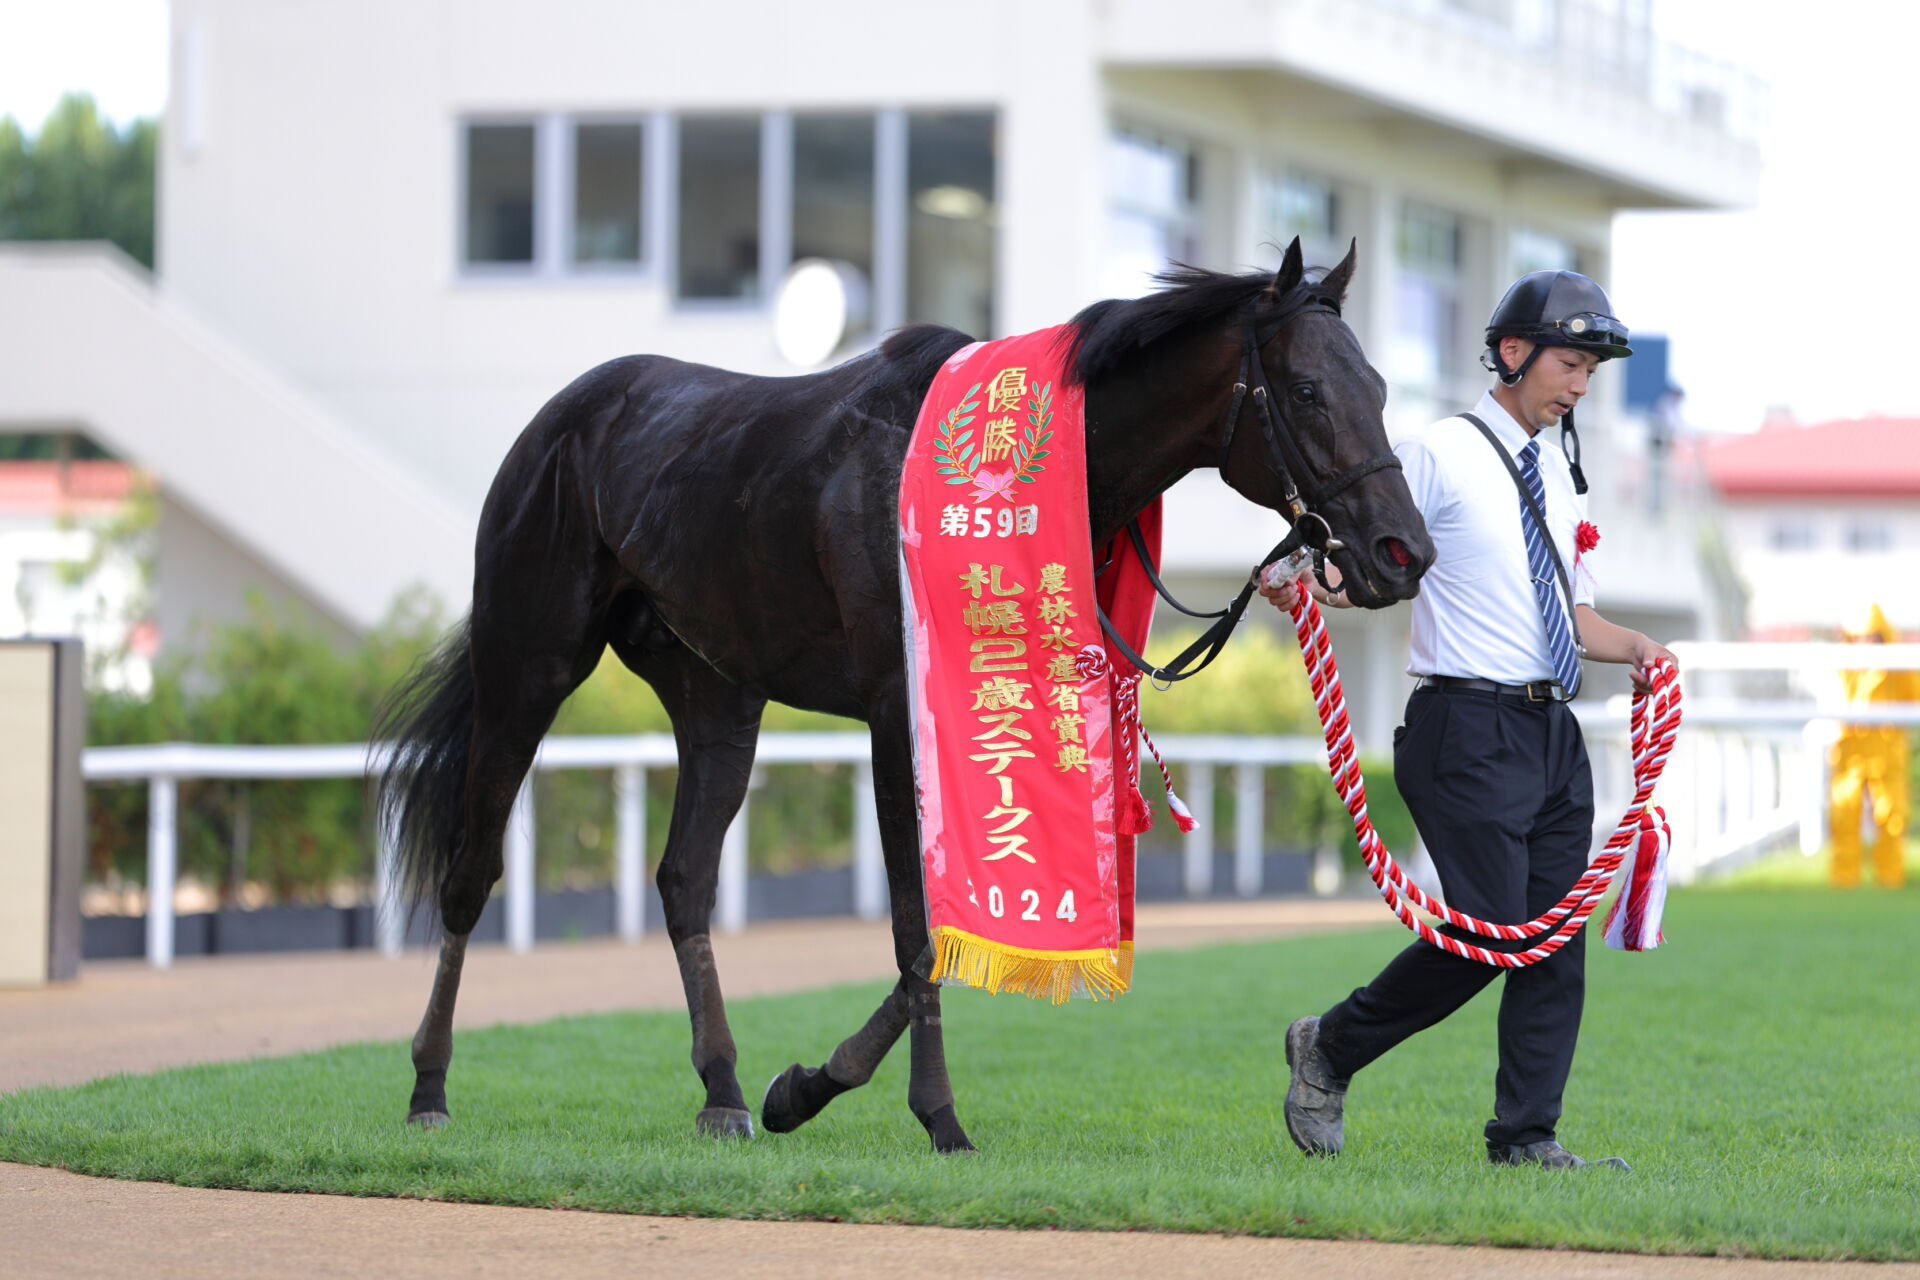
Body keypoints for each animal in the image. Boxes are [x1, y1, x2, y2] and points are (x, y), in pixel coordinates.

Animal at [374, 237, 1436, 1151]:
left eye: (1381, 388)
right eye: (1308, 390)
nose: (1404, 551)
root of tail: (568, 415)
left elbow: (955, 920)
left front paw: (801, 1086)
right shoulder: (897, 710)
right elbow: (918, 921)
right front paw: (932, 1112)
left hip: (716, 698)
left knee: (684, 878)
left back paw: (723, 1089)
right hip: (529, 664)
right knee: (471, 870)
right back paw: (427, 1087)